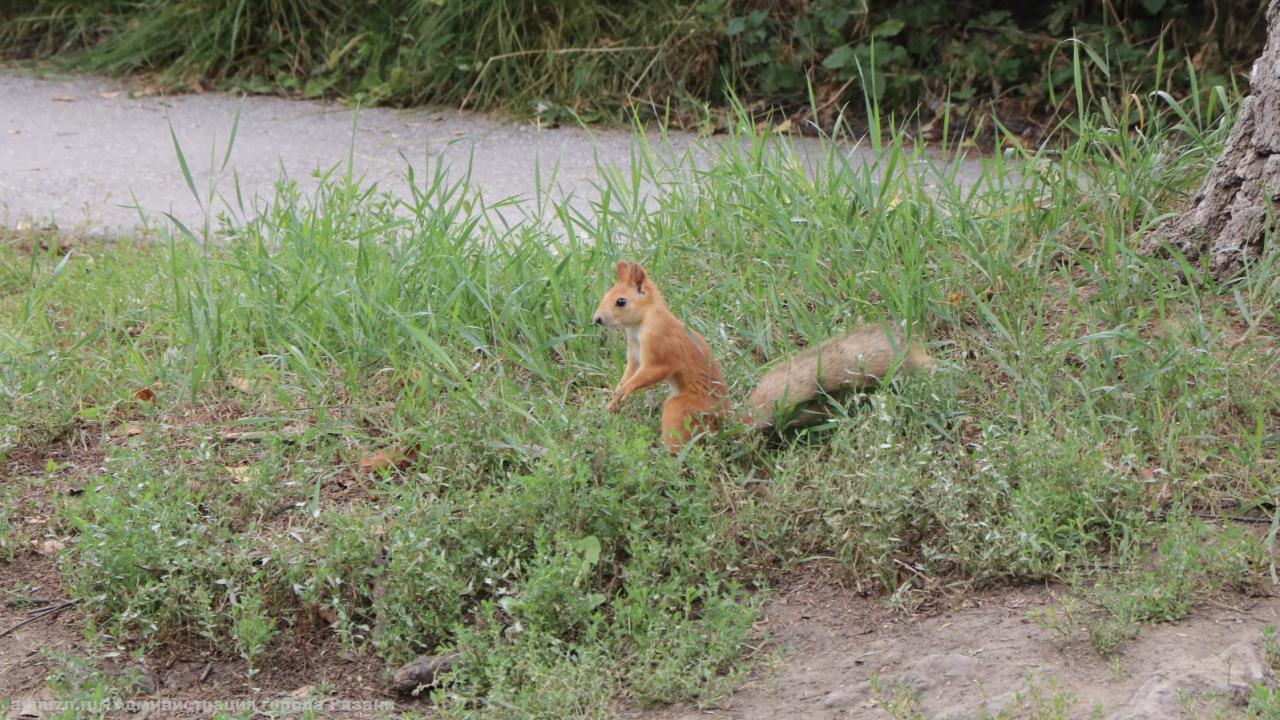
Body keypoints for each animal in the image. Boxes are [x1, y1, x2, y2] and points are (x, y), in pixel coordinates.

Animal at [588, 260, 931, 450]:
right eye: (606, 295)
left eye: (620, 301)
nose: (597, 320)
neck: (641, 323)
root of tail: (726, 420)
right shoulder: (634, 351)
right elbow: (630, 371)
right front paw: (616, 397)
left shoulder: (661, 346)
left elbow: (653, 371)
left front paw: (627, 391)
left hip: (683, 408)